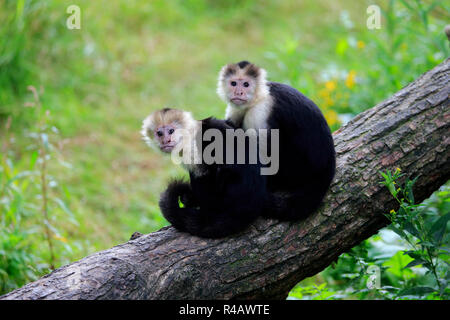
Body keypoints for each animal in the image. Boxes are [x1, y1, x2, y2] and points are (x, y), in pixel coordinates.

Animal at [216, 60, 336, 221]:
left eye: (246, 84)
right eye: (234, 83)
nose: (238, 92)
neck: (258, 97)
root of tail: (327, 168)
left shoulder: (260, 112)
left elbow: (262, 158)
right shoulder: (236, 108)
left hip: (298, 168)